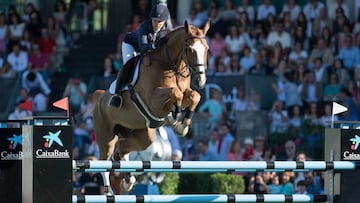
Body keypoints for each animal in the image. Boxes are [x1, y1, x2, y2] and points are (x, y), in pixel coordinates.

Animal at [93, 19, 210, 194]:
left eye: (207, 49)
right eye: (190, 49)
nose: (200, 81)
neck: (170, 65)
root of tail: (99, 97)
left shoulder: (186, 93)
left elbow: (194, 96)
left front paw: (181, 126)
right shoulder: (153, 101)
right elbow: (176, 93)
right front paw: (174, 117)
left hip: (143, 135)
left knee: (122, 150)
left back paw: (127, 181)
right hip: (106, 137)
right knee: (105, 160)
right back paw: (108, 190)